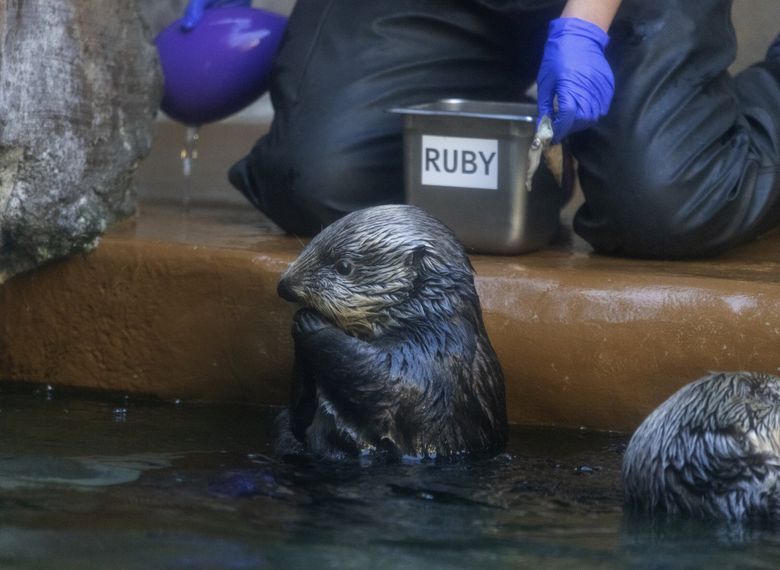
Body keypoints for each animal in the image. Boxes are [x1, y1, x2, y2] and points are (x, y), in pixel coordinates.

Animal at [274, 204, 507, 461]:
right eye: (311, 242)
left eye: (343, 266)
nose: (284, 286)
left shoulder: (434, 351)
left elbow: (386, 375)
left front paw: (309, 321)